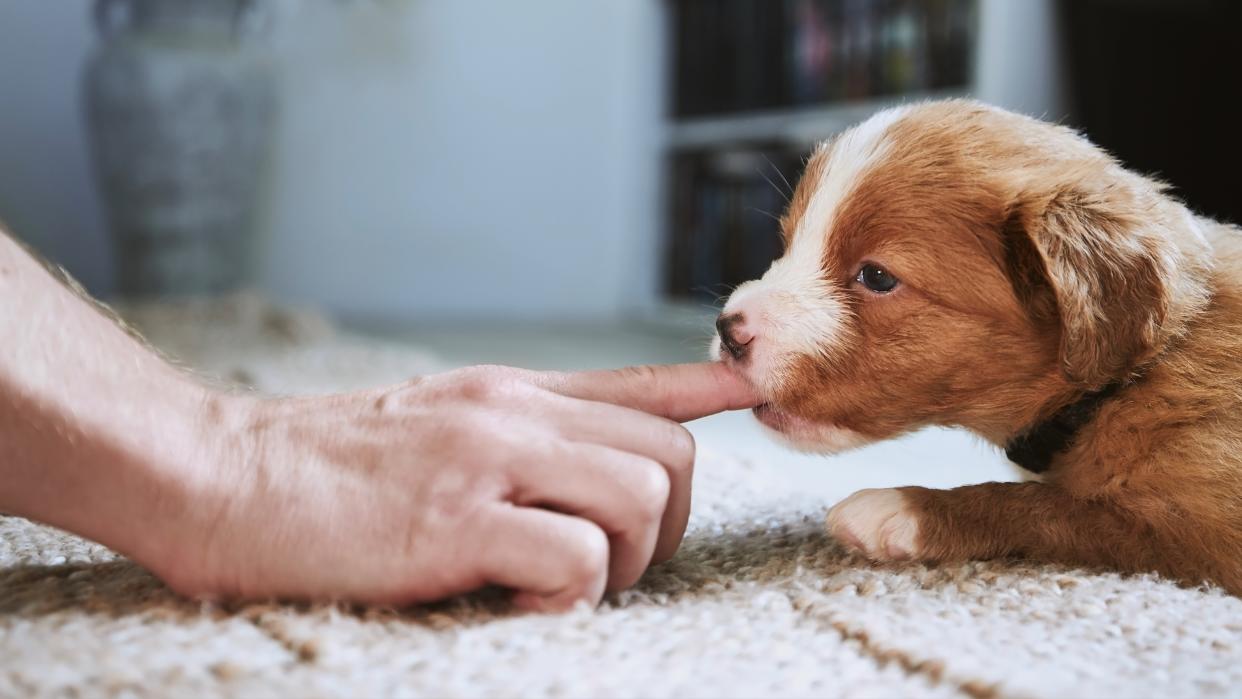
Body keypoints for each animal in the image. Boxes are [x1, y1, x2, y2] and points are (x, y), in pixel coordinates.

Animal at [710, 99, 1242, 595]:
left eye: (877, 276)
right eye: (786, 243)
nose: (728, 330)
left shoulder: (1203, 539)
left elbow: (1058, 509)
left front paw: (903, 507)